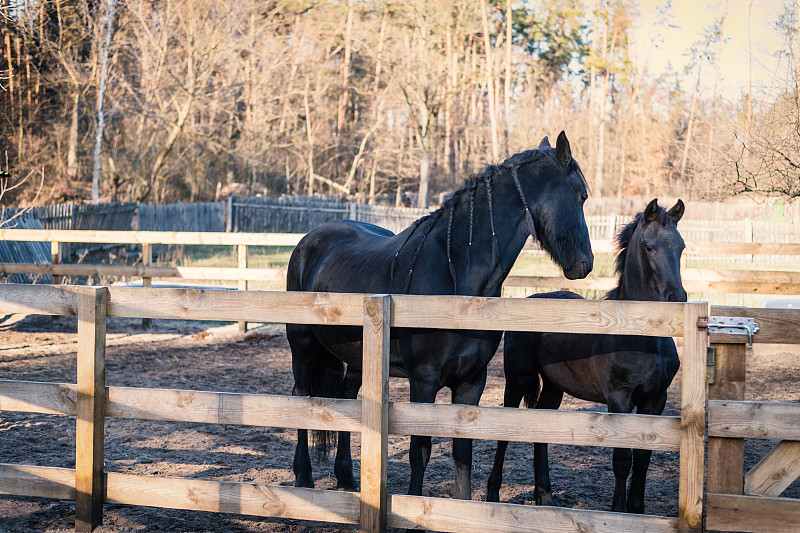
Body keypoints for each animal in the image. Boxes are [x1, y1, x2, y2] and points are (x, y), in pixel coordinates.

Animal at [288, 132, 592, 498]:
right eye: (582, 195)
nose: (586, 263)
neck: (457, 279)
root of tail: (309, 241)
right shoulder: (424, 379)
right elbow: (420, 449)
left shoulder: (472, 381)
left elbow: (463, 451)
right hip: (303, 348)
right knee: (302, 398)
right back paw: (303, 477)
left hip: (360, 358)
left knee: (347, 399)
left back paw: (346, 478)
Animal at [488, 198, 688, 512]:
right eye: (649, 247)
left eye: (681, 246)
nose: (677, 298)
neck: (641, 337)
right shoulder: (619, 400)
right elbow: (622, 459)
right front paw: (619, 511)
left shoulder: (656, 399)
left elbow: (644, 456)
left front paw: (637, 510)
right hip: (518, 379)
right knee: (505, 430)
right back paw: (493, 495)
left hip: (553, 387)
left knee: (541, 428)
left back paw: (546, 496)